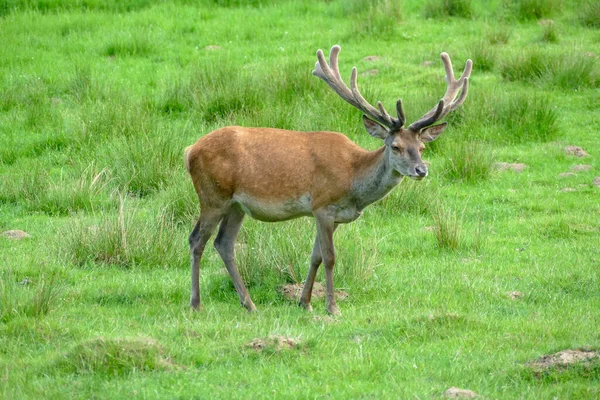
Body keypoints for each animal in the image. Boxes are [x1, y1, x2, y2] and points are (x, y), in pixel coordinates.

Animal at [185, 46, 472, 316]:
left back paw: (250, 305)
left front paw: (305, 302)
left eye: (422, 147)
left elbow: (316, 257)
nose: (421, 170)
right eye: (396, 147)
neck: (353, 181)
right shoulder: (323, 205)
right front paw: (332, 307)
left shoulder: (331, 215)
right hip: (212, 195)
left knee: (224, 243)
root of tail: (189, 151)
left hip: (236, 205)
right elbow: (330, 257)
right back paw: (196, 304)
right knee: (197, 239)